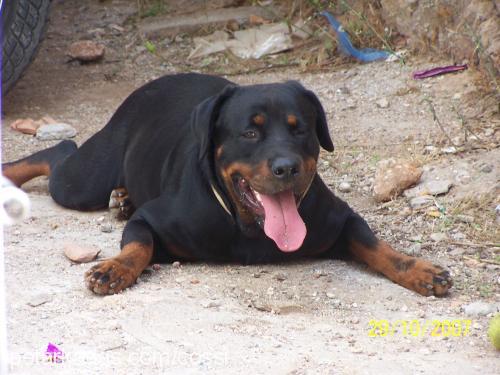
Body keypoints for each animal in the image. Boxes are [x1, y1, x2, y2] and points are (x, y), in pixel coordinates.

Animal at [0, 72, 454, 296]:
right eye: (250, 133)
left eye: (300, 129)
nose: (287, 167)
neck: (248, 228)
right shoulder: (153, 220)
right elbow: (138, 245)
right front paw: (115, 268)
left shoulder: (340, 218)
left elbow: (376, 245)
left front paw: (418, 269)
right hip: (83, 179)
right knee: (60, 152)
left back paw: (123, 197)